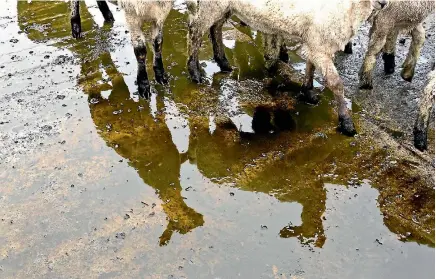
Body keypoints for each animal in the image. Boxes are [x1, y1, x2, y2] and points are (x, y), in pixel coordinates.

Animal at [186, 0, 388, 137]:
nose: (384, 3)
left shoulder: (314, 41)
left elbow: (310, 67)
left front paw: (308, 92)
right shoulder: (320, 44)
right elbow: (336, 83)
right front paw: (347, 123)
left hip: (225, 6)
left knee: (215, 27)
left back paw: (223, 63)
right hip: (213, 3)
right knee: (196, 30)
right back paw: (195, 72)